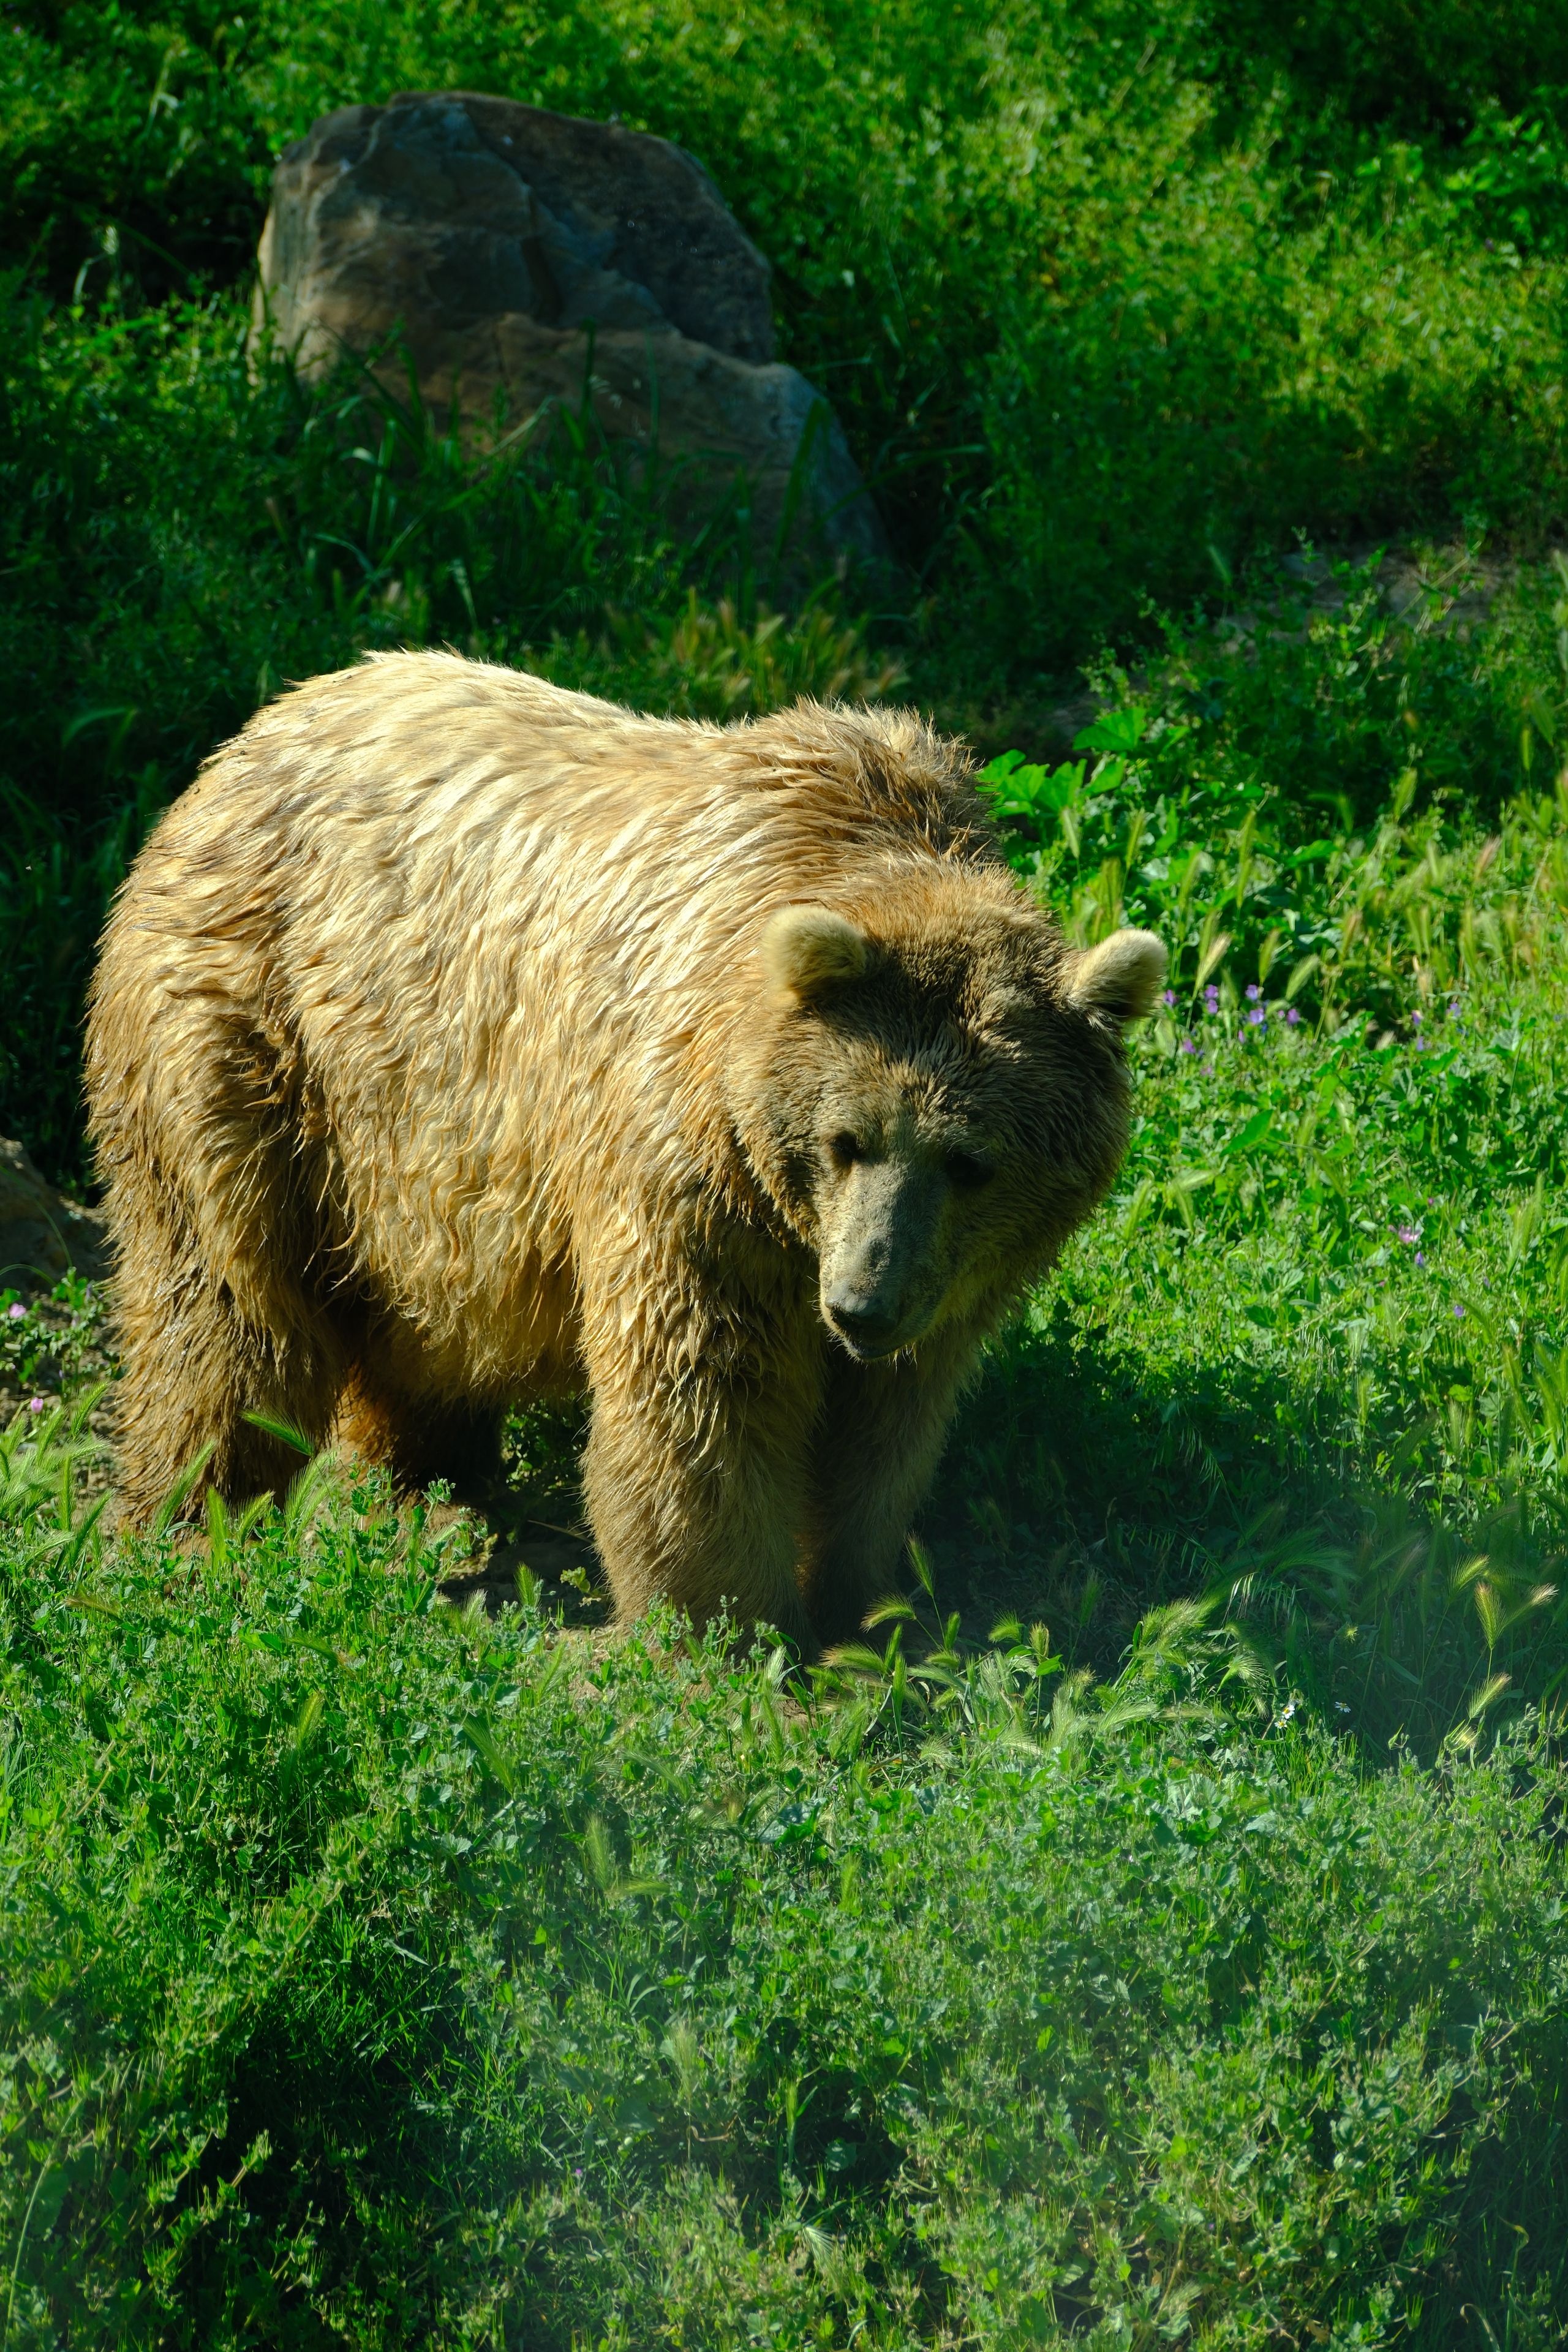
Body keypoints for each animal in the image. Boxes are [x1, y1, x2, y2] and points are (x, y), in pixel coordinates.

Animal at [84, 653, 1164, 1650]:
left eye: (971, 1162)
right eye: (848, 1140)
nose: (864, 1301)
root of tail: (248, 737)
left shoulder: (940, 1278)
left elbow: (884, 1429)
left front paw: (860, 1603)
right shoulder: (693, 1166)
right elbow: (702, 1393)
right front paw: (725, 1628)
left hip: (410, 1163)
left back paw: (424, 1487)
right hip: (257, 1046)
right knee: (226, 1311)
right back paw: (195, 1525)